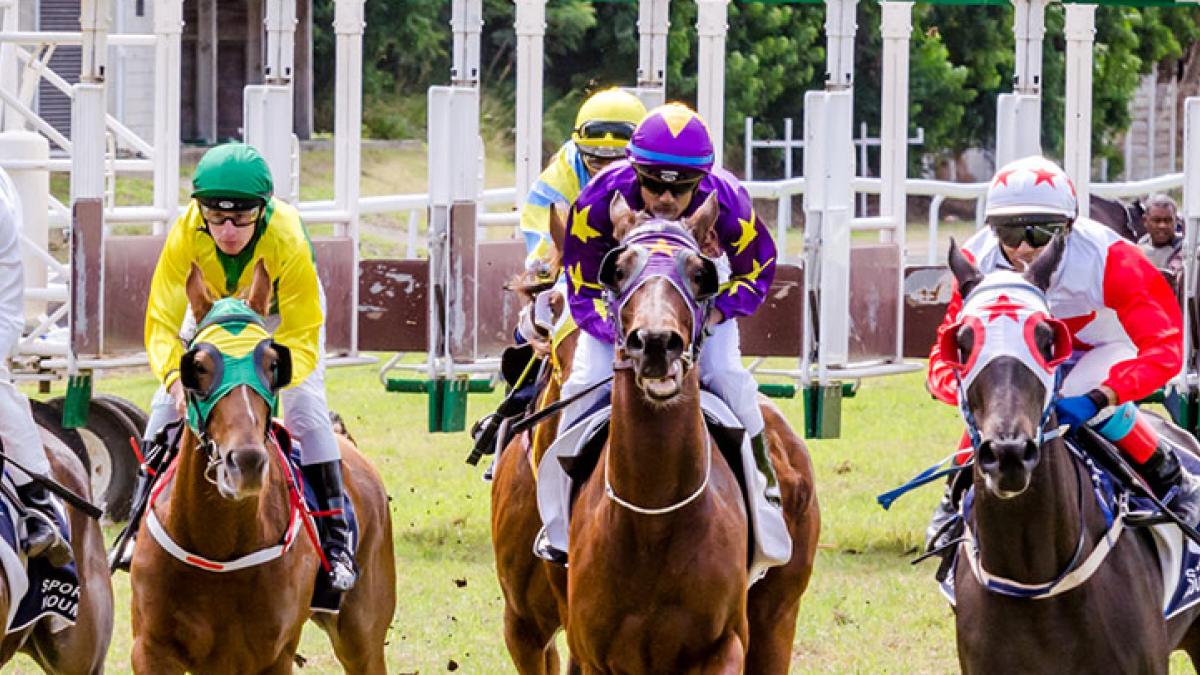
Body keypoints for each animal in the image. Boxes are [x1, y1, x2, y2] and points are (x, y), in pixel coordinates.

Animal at [129, 261, 396, 672]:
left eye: (273, 364)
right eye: (199, 366)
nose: (247, 462)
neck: (217, 544)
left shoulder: (269, 655)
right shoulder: (150, 649)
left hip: (362, 635)